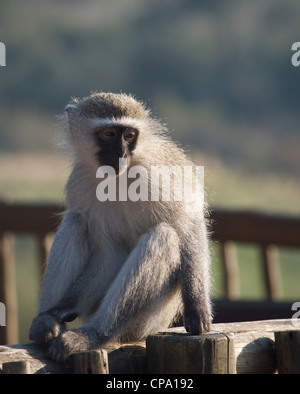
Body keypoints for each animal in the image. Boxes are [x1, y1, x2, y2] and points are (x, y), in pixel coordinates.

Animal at [28, 91, 211, 360]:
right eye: (109, 134)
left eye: (129, 135)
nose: (121, 154)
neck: (117, 177)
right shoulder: (80, 182)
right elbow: (109, 255)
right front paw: (59, 310)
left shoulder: (158, 176)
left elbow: (188, 225)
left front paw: (197, 308)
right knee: (76, 221)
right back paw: (47, 321)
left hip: (148, 321)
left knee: (164, 236)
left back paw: (94, 334)